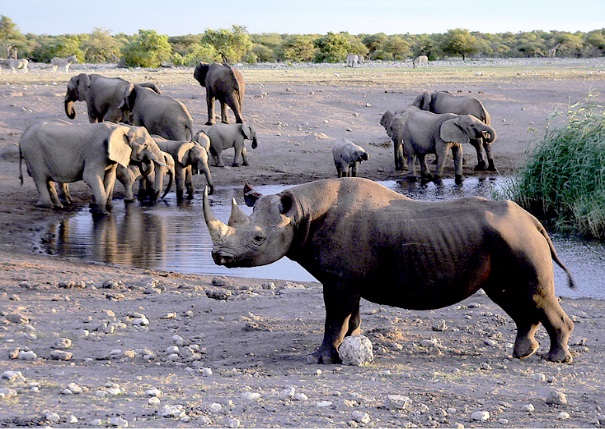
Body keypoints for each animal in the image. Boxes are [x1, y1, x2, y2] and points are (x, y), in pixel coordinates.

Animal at [19, 119, 164, 214]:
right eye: (145, 145)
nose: (151, 201)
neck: (122, 127)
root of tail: (22, 136)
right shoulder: (96, 151)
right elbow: (90, 176)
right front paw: (102, 213)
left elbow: (110, 177)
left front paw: (104, 207)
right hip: (34, 153)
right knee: (40, 178)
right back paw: (46, 206)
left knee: (47, 180)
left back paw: (58, 206)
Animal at [204, 178, 576, 364]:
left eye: (257, 239)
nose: (218, 256)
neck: (302, 213)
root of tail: (534, 220)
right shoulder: (347, 280)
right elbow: (349, 318)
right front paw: (351, 346)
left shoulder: (338, 280)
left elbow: (333, 319)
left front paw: (320, 359)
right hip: (511, 239)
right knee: (510, 295)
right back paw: (523, 352)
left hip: (520, 239)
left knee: (534, 294)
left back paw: (556, 360)